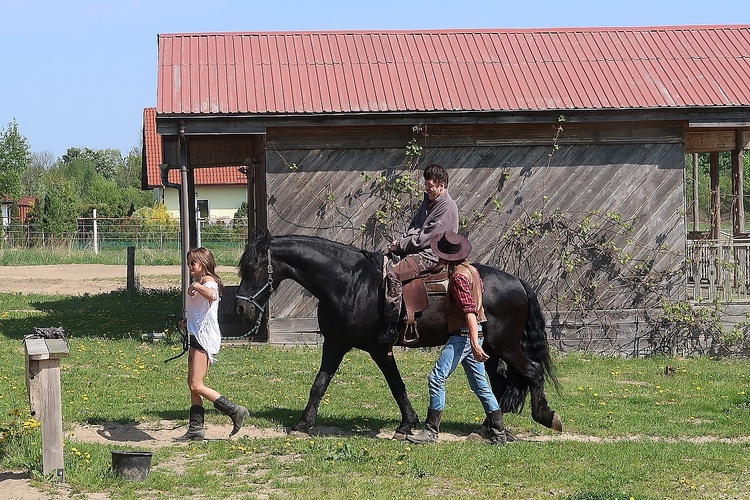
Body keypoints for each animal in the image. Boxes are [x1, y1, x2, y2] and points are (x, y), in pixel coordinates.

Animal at [236, 233, 564, 438]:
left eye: (254, 267)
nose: (241, 308)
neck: (349, 283)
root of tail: (517, 281)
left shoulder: (380, 348)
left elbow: (396, 385)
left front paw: (407, 424)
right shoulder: (335, 344)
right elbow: (319, 384)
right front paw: (303, 424)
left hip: (505, 346)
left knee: (532, 372)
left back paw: (545, 416)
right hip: (489, 350)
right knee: (498, 384)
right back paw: (486, 428)